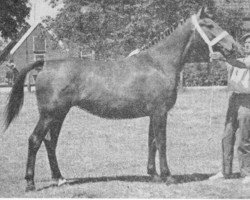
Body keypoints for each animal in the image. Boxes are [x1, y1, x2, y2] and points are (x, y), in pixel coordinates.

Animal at [4, 8, 244, 192]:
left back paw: (60, 178)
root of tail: (45, 63)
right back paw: (30, 183)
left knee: (50, 142)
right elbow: (162, 142)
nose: (236, 46)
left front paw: (153, 175)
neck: (159, 63)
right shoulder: (160, 112)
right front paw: (168, 176)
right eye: (209, 25)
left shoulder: (153, 114)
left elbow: (152, 142)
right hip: (49, 114)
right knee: (35, 140)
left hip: (59, 115)